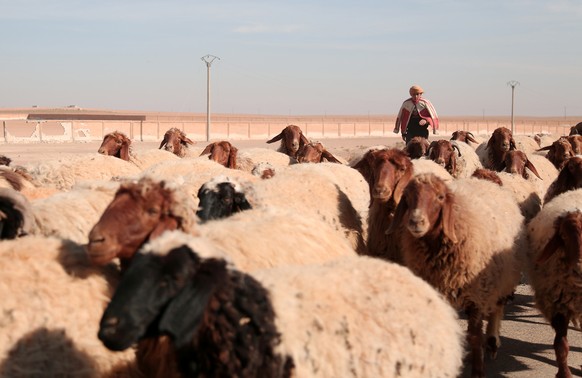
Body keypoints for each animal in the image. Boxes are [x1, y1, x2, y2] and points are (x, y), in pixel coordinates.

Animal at [388, 174, 528, 378]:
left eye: (440, 197)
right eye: (407, 197)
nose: (415, 222)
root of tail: (486, 181)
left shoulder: (477, 295)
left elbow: (475, 336)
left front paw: (478, 371)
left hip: (503, 277)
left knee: (497, 308)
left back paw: (492, 341)